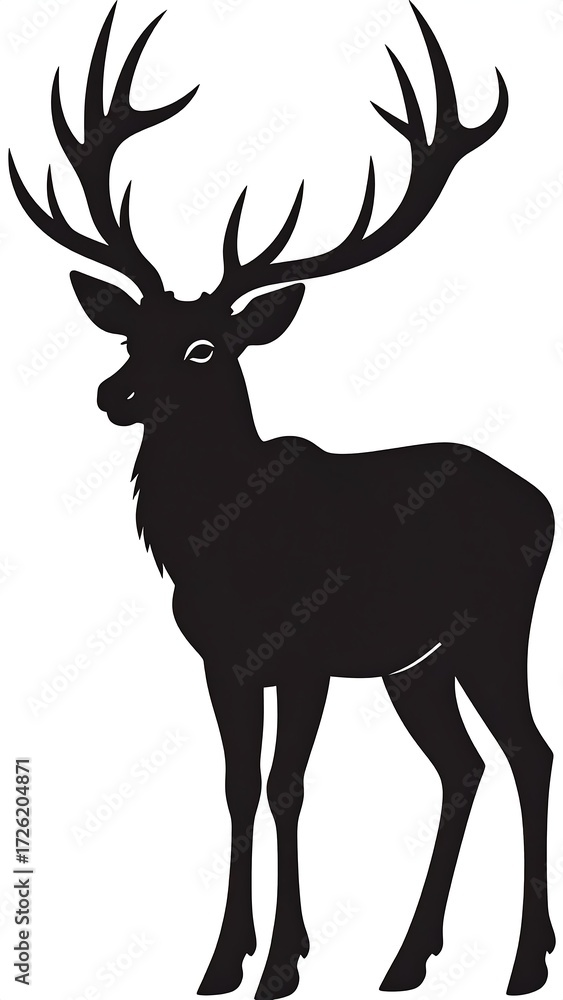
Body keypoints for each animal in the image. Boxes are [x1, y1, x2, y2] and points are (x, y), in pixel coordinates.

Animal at [9, 3, 556, 997]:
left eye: (203, 348)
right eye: (132, 334)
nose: (113, 395)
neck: (222, 546)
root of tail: (539, 499)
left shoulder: (306, 654)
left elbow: (285, 787)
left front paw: (281, 965)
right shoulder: (222, 662)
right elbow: (235, 787)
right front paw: (224, 960)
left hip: (495, 624)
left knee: (528, 753)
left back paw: (525, 960)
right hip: (416, 667)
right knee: (462, 766)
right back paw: (407, 958)